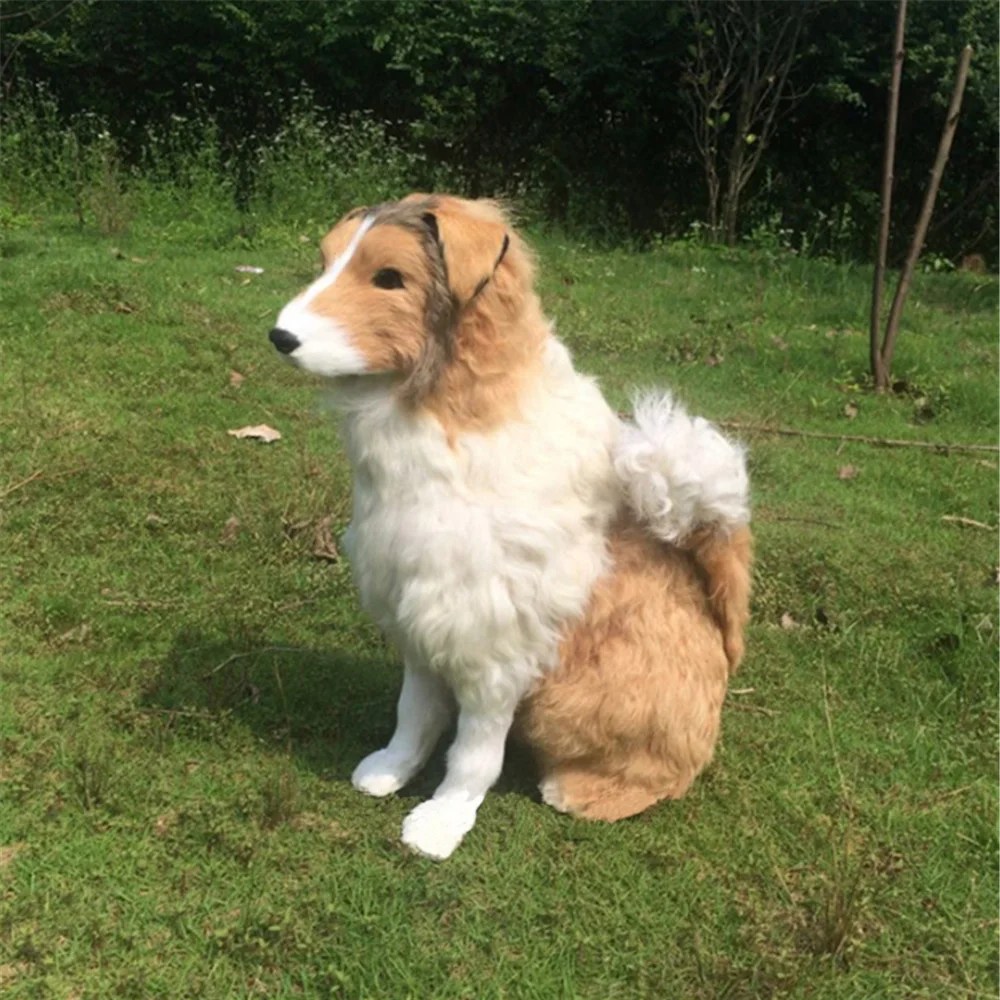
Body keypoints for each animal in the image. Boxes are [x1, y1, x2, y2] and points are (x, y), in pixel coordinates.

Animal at [268, 195, 752, 860]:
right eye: (326, 261)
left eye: (389, 277)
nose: (280, 336)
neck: (448, 408)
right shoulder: (420, 618)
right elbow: (414, 714)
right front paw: (390, 771)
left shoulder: (492, 644)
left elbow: (473, 754)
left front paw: (440, 823)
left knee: (663, 776)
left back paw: (581, 792)